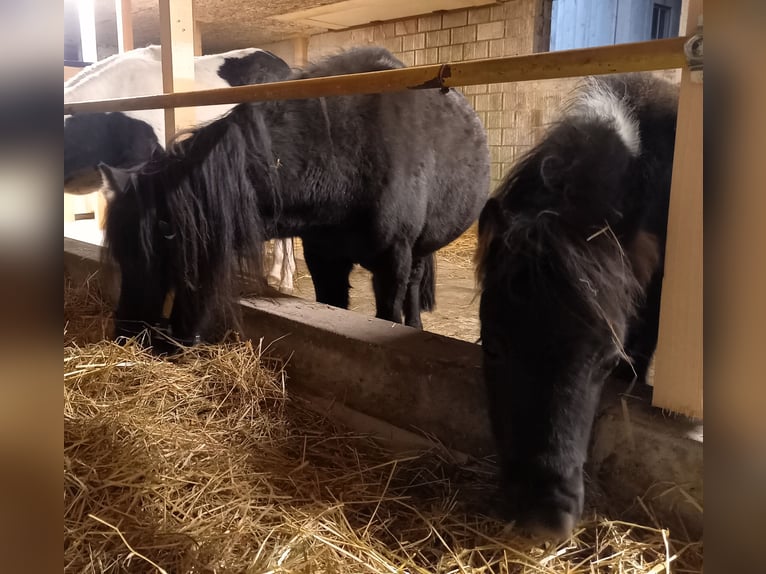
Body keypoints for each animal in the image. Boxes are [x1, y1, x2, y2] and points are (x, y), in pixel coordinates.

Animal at [99, 46, 490, 349]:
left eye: (165, 254)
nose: (125, 335)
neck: (349, 153)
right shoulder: (324, 258)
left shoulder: (392, 262)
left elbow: (389, 313)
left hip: (417, 251)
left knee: (414, 286)